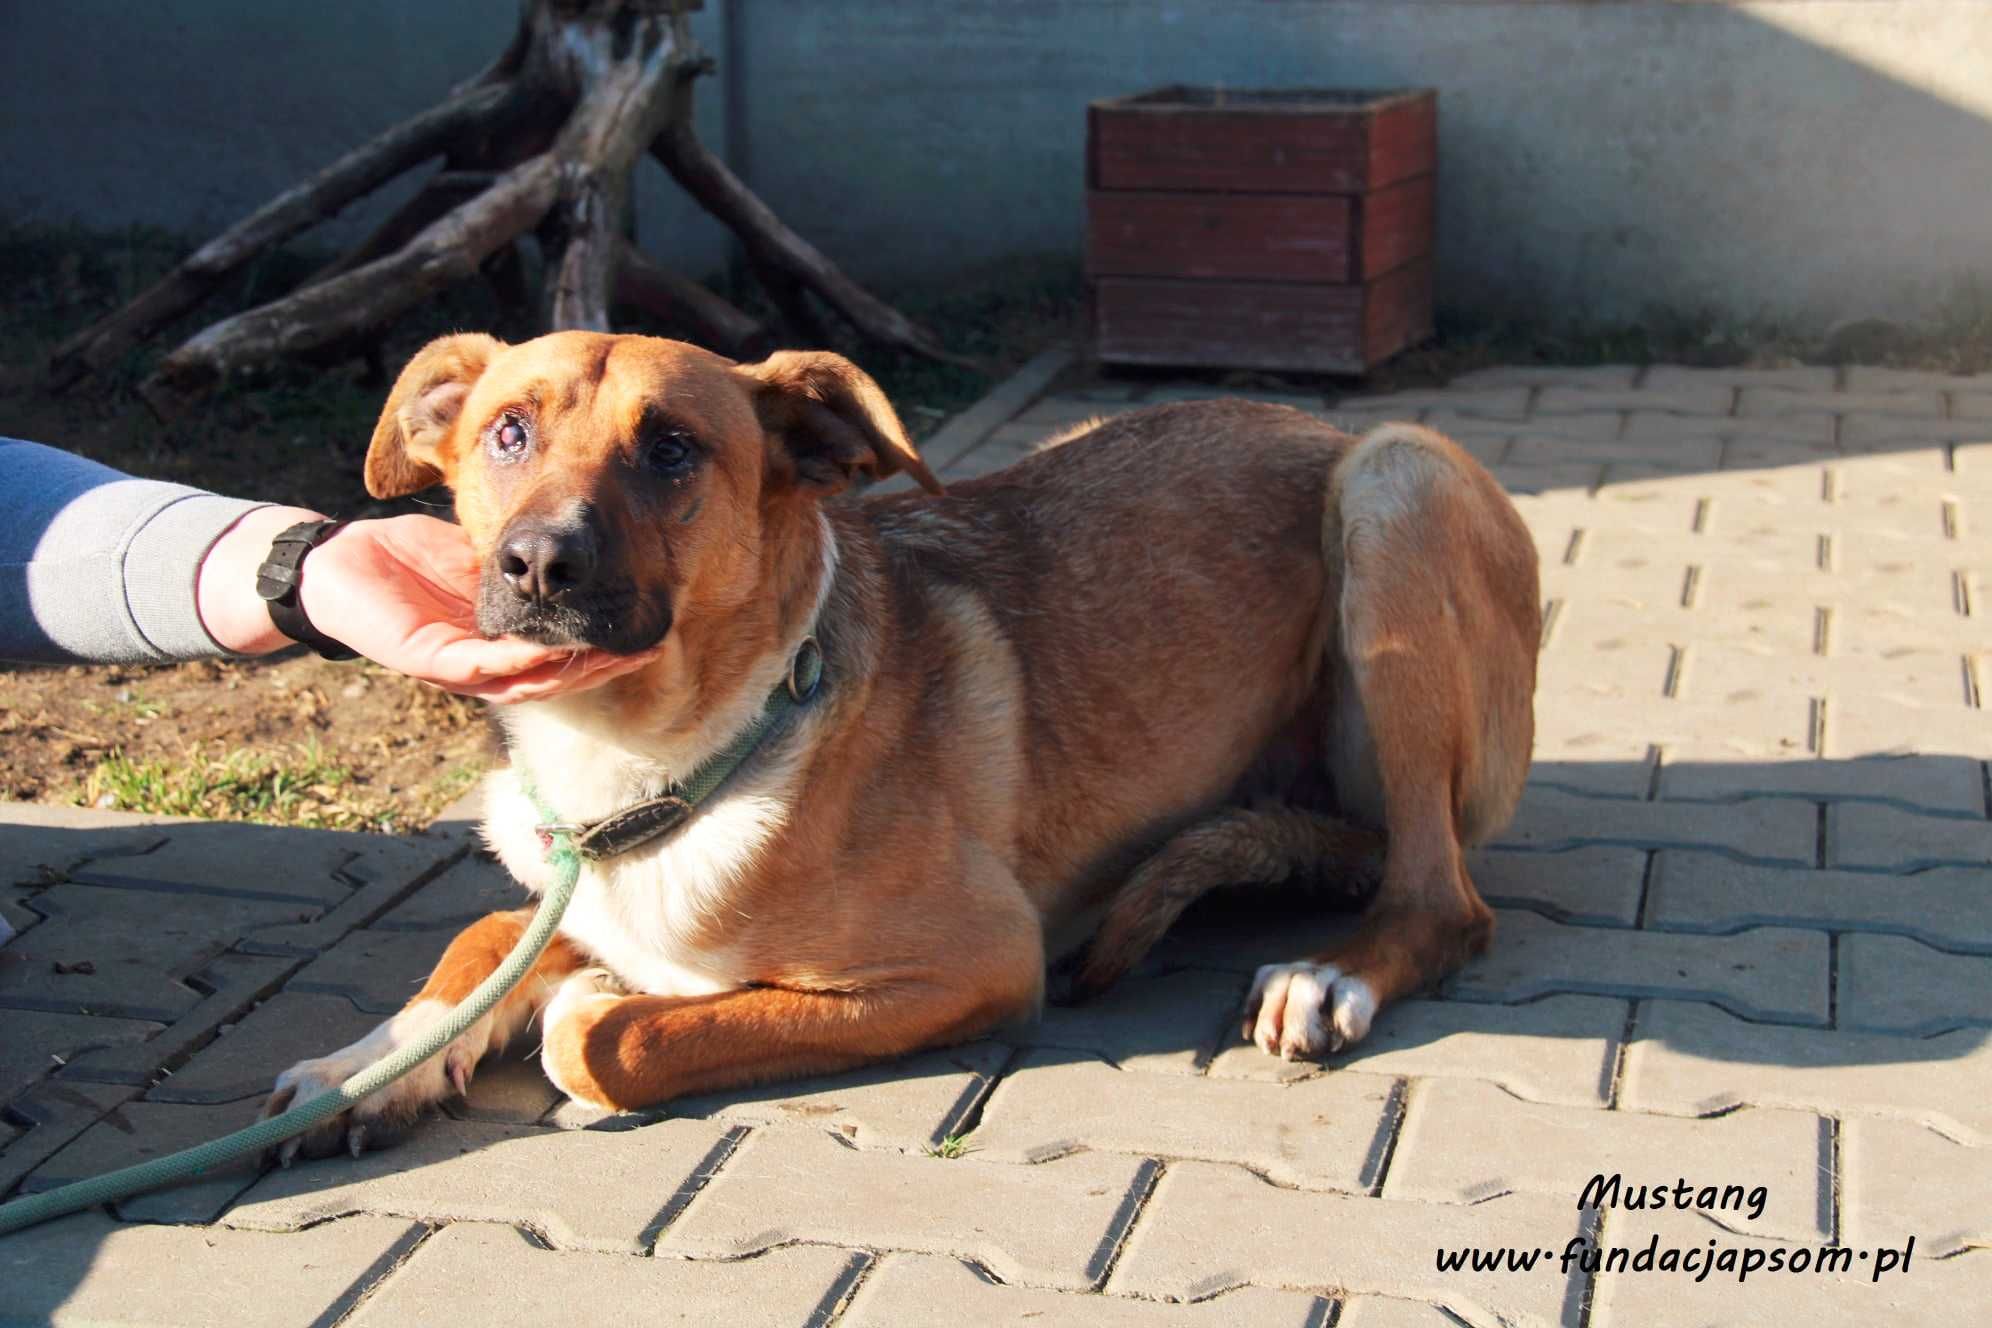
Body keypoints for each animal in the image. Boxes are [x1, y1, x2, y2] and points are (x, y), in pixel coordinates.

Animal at [264, 334, 1537, 1162]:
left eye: (671, 447)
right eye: (508, 431)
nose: (536, 564)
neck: (656, 755)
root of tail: (1316, 420)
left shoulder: (979, 961)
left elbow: (610, 1036)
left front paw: (597, 999)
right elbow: (487, 938)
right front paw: (364, 1064)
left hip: (1395, 482)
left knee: (1443, 897)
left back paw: (1332, 971)